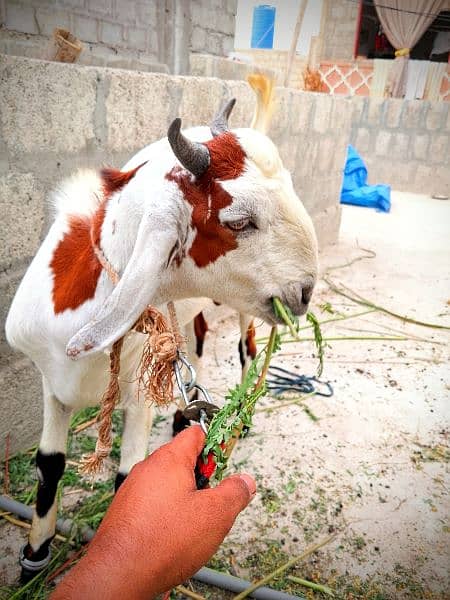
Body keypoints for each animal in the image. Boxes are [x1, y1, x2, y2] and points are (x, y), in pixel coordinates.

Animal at [5, 99, 318, 576]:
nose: (305, 291)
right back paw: (182, 418)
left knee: (246, 349)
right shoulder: (52, 385)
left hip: (246, 308)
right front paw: (34, 557)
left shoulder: (137, 399)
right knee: (198, 338)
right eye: (239, 222)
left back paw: (239, 418)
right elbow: (49, 465)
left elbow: (128, 479)